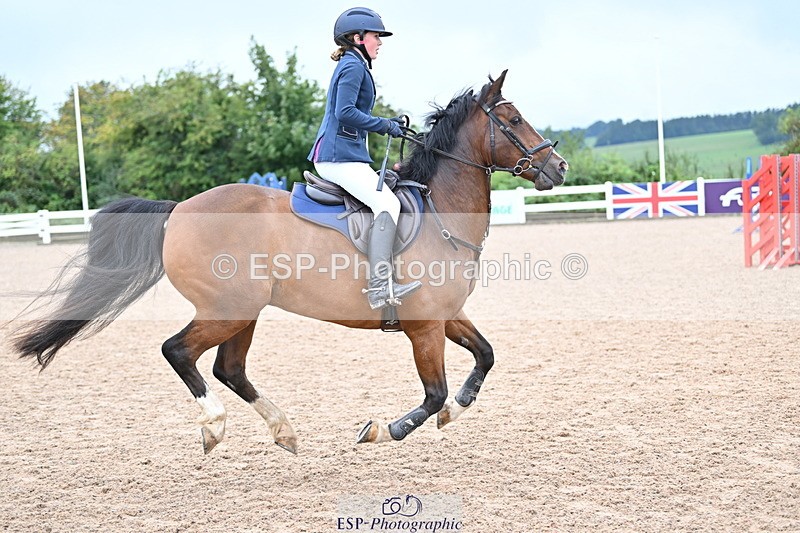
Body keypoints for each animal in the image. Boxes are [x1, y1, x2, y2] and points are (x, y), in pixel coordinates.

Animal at [11, 70, 568, 454]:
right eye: (513, 121)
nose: (559, 167)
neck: (438, 214)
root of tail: (180, 208)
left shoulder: (447, 315)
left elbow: (486, 355)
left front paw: (461, 406)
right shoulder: (424, 326)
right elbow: (433, 393)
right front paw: (383, 429)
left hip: (244, 312)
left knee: (229, 368)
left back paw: (284, 431)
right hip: (227, 309)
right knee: (179, 352)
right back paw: (215, 425)